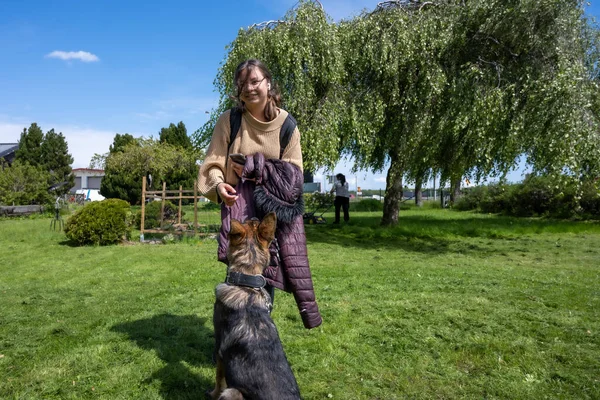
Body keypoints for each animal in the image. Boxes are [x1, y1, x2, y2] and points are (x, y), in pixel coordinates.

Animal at [210, 212, 302, 400]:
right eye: (253, 223)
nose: (253, 216)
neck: (247, 285)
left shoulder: (219, 350)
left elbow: (218, 378)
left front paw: (212, 394)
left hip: (232, 392)